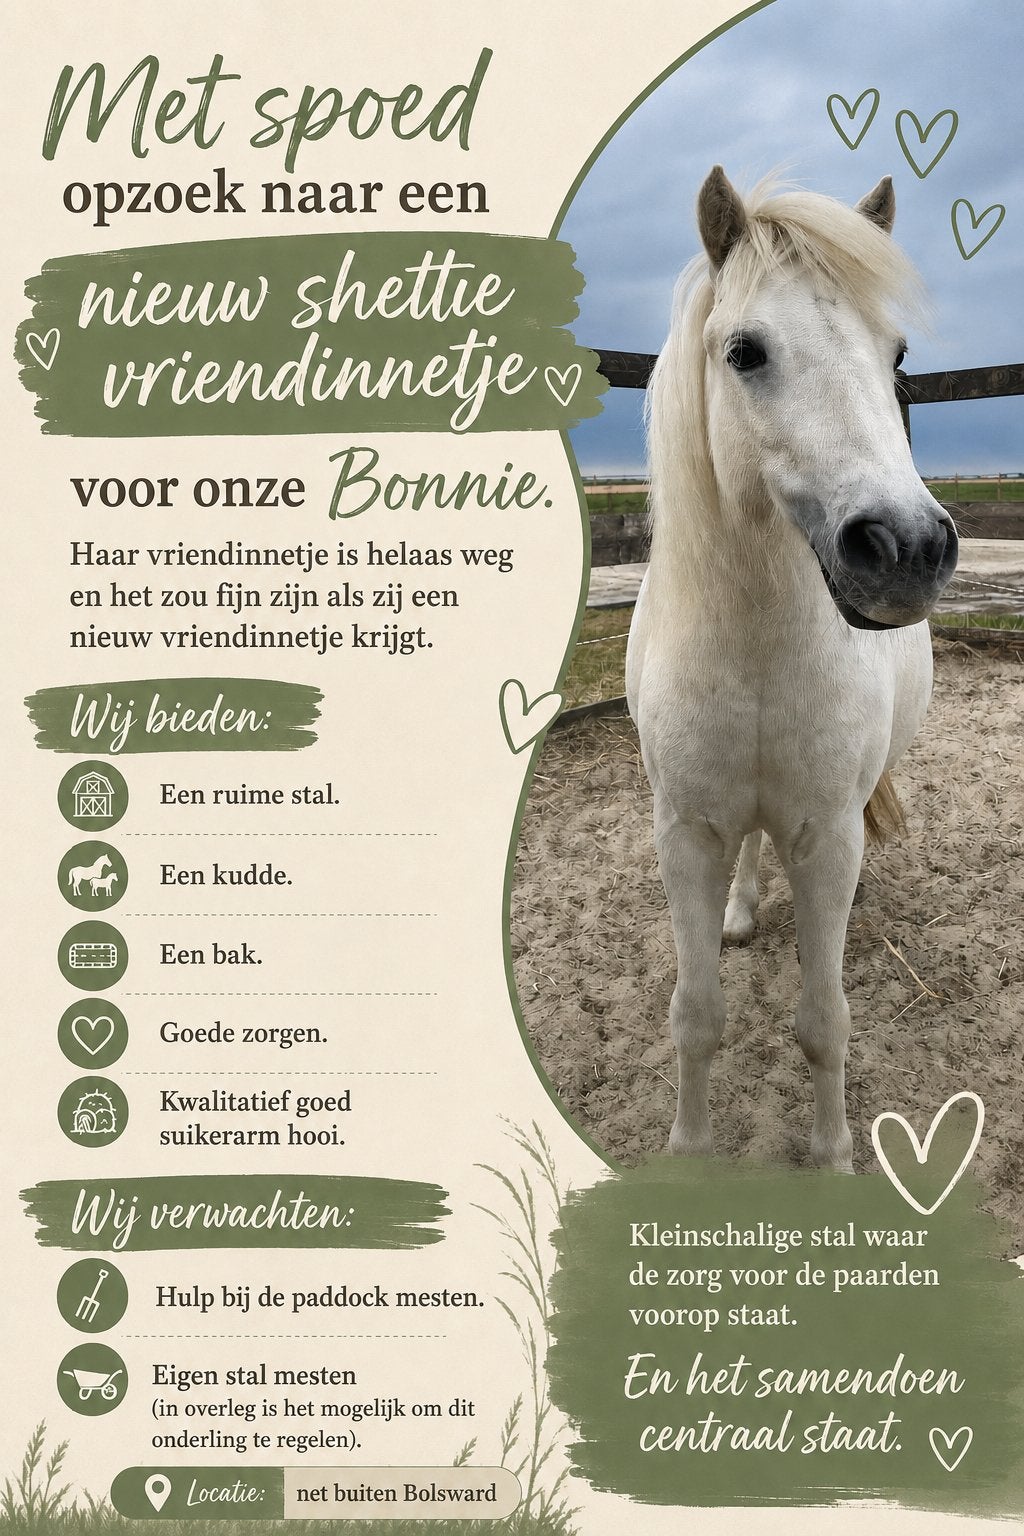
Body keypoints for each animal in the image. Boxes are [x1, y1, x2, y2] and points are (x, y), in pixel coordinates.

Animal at [626, 169, 957, 1170]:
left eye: (896, 353)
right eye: (745, 351)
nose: (907, 550)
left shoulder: (827, 835)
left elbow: (824, 1023)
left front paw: (836, 1157)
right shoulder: (686, 835)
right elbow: (696, 1017)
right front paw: (688, 1155)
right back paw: (742, 911)